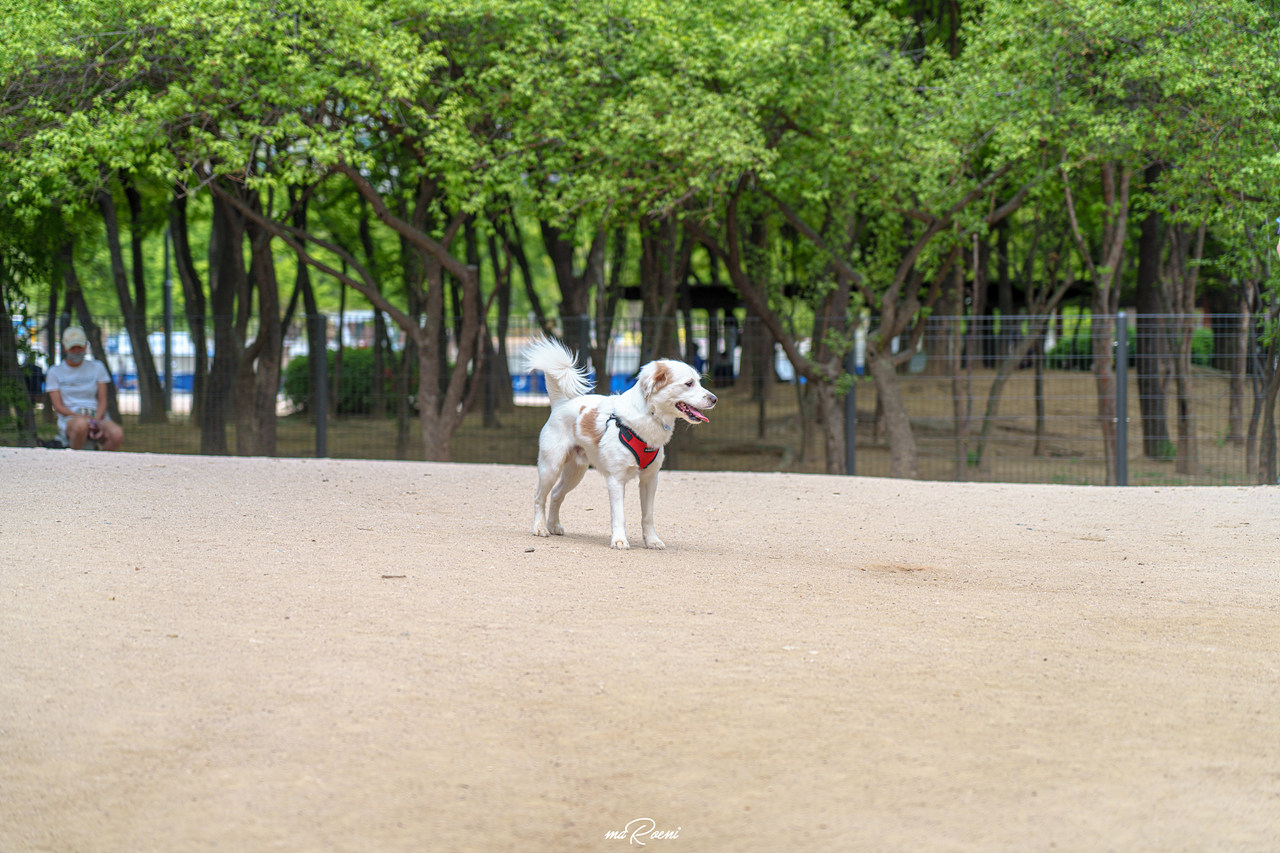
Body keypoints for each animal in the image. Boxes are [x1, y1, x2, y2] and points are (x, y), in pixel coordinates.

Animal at [524, 335, 716, 548]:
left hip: (575, 472)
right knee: (539, 497)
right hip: (551, 467)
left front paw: (652, 540)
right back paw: (540, 527)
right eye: (688, 383)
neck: (649, 416)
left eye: (698, 381)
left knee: (557, 494)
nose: (714, 399)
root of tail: (561, 404)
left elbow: (648, 516)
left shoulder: (650, 479)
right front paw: (619, 540)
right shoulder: (616, 480)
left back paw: (553, 526)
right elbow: (619, 515)